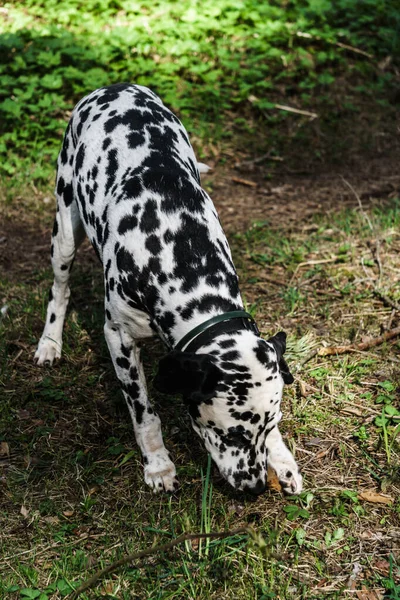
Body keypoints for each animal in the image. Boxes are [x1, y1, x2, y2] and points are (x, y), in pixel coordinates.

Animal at [35, 84, 304, 496]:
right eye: (233, 434)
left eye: (268, 426)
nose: (256, 486)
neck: (178, 254)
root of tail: (115, 87)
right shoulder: (119, 339)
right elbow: (144, 412)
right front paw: (158, 464)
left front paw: (283, 459)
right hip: (64, 231)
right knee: (59, 289)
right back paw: (49, 342)